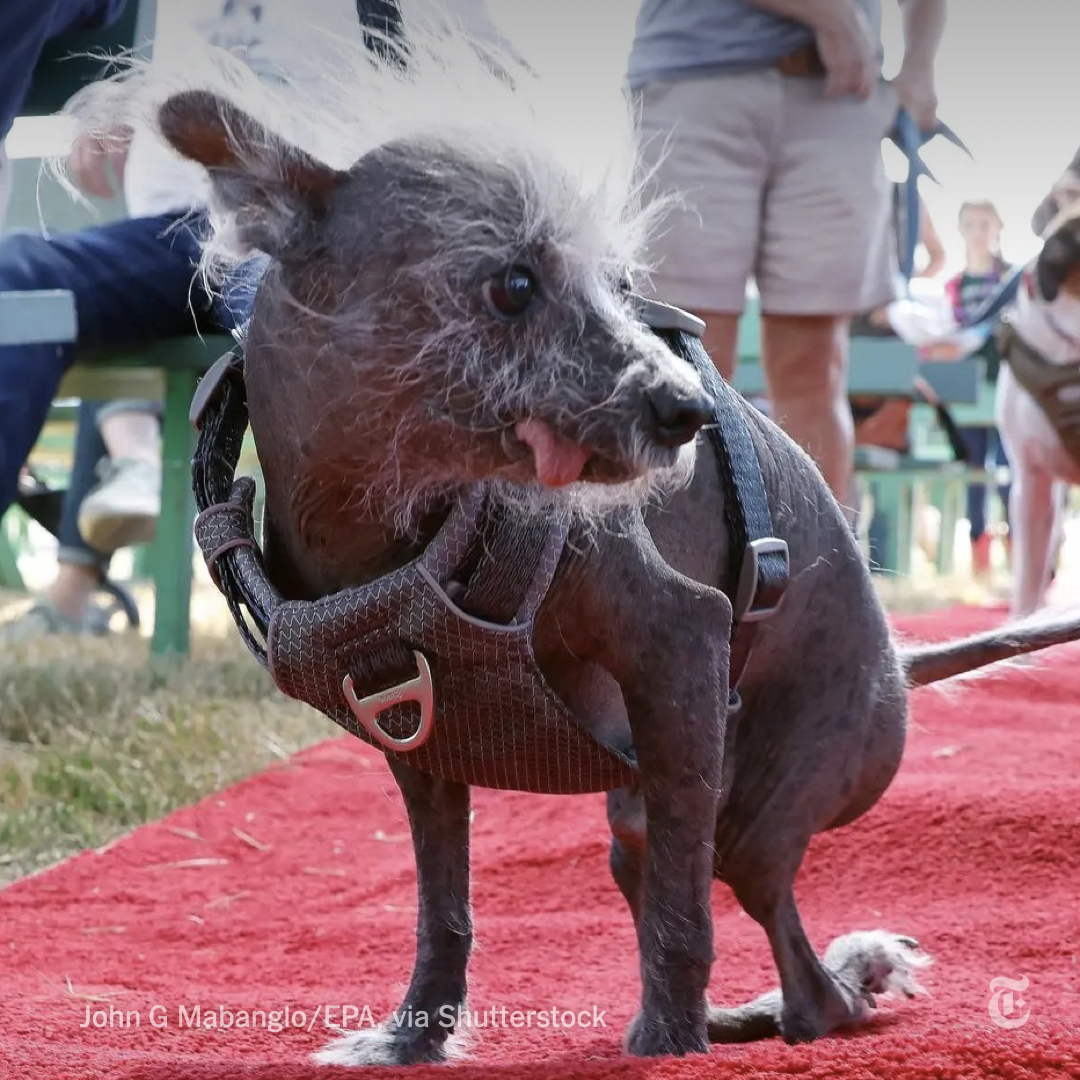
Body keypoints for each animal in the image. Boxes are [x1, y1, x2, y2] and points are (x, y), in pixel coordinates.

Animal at [78, 25, 1080, 1062]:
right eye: (515, 284)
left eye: (619, 287)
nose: (686, 409)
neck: (396, 522)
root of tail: (897, 666)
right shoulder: (415, 738)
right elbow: (445, 907)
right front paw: (413, 1039)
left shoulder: (680, 635)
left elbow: (684, 921)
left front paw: (668, 1044)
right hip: (648, 804)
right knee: (672, 871)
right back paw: (744, 1014)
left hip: (761, 805)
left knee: (786, 958)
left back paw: (818, 989)